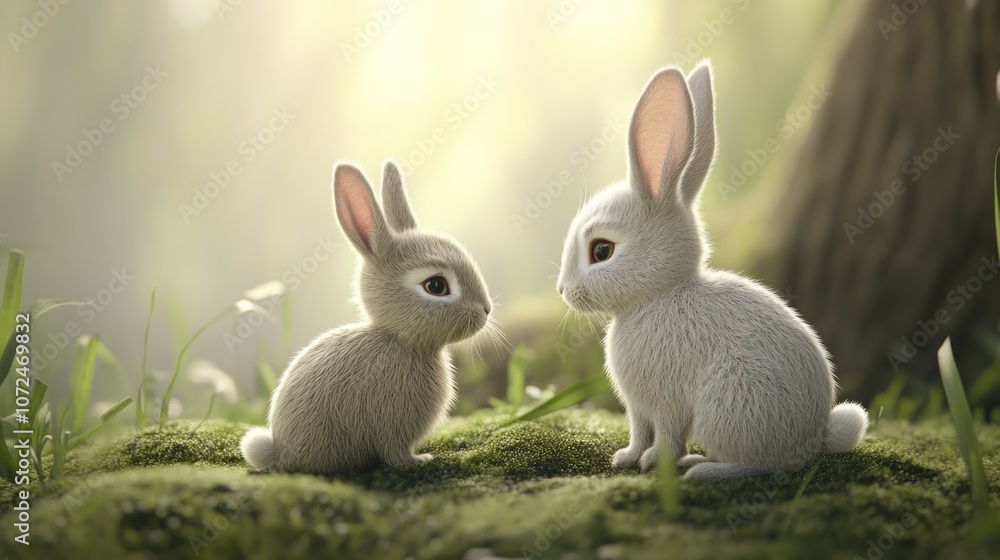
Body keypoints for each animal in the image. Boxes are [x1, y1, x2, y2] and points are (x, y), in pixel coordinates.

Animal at [241, 160, 493, 474]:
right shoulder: (392, 424)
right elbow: (395, 453)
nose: (486, 310)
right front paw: (420, 459)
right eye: (436, 286)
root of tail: (279, 450)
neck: (402, 342)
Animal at [555, 60, 868, 481]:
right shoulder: (638, 407)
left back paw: (702, 470)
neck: (659, 296)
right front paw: (626, 457)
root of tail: (813, 440)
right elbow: (639, 430)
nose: (562, 290)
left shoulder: (667, 401)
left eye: (601, 250)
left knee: (762, 466)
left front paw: (655, 462)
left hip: (728, 408)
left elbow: (667, 434)